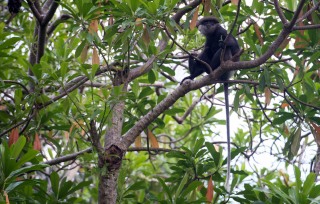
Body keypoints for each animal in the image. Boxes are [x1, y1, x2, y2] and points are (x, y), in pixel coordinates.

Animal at [180, 16, 240, 192]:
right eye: (204, 23)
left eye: (209, 23)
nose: (203, 25)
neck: (213, 34)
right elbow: (206, 49)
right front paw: (192, 70)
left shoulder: (223, 32)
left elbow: (234, 47)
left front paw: (224, 44)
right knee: (206, 53)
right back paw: (195, 70)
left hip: (226, 62)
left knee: (223, 50)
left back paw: (212, 68)